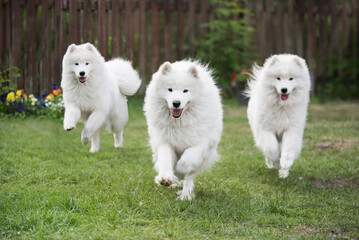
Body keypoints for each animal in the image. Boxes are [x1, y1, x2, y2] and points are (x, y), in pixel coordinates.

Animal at [143, 60, 222, 201]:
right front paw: (166, 178)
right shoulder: (165, 141)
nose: (176, 103)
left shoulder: (200, 144)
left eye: (185, 91)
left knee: (190, 177)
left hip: (204, 158)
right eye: (170, 89)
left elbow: (187, 160)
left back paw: (185, 195)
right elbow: (165, 159)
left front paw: (179, 171)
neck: (179, 122)